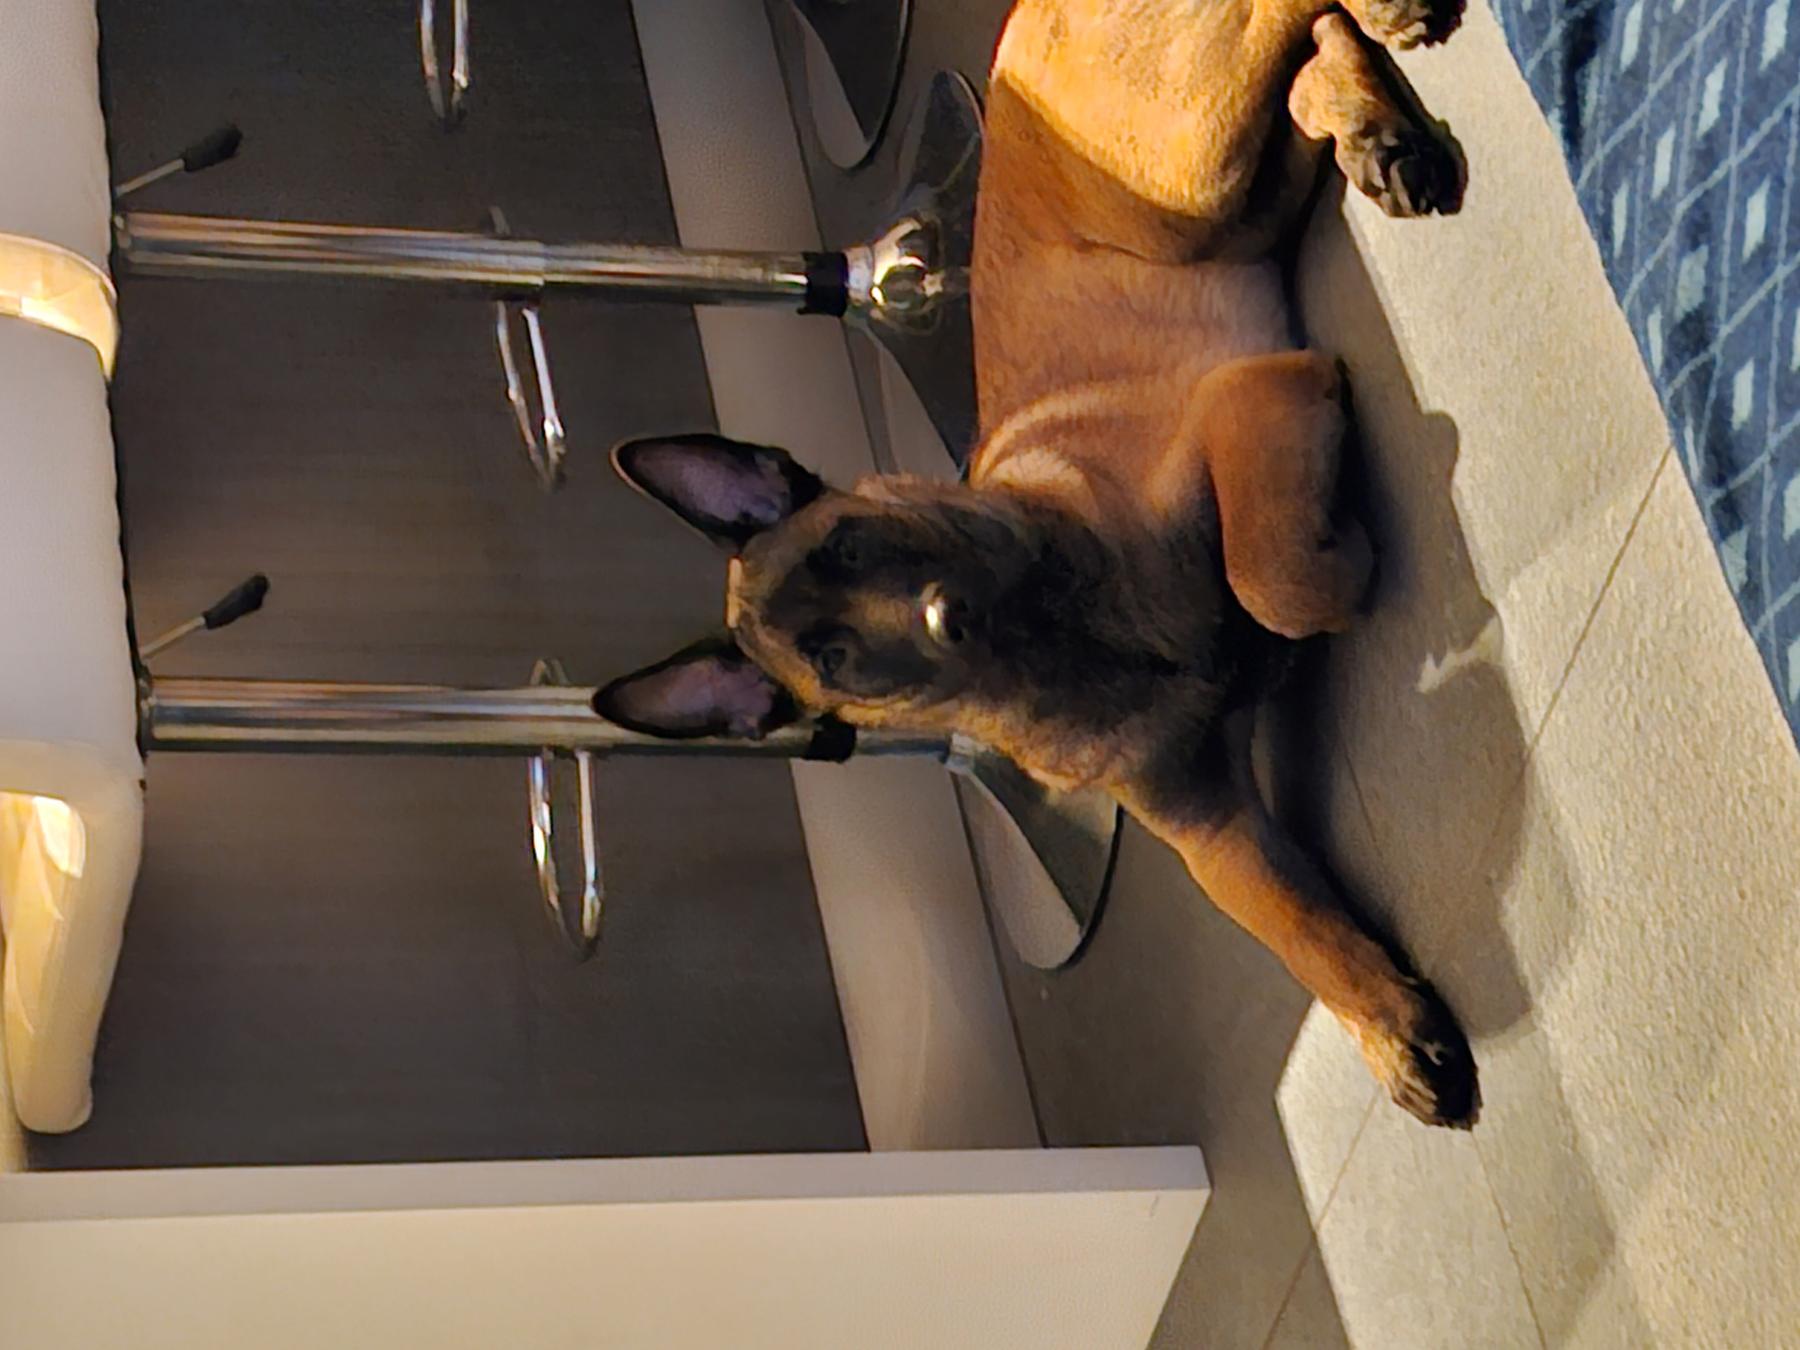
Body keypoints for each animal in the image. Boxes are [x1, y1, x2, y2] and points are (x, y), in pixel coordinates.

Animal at [595, 0, 1478, 1127]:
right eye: (832, 659)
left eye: (852, 541)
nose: (948, 618)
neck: (1069, 638)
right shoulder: (1210, 826)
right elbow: (1297, 930)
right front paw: (1390, 1029)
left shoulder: (1241, 398)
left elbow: (1273, 581)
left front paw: (1340, 562)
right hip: (1225, 204)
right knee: (1294, 76)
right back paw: (1366, 124)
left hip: (1186, 183)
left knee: (1278, 16)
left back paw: (1390, 40)